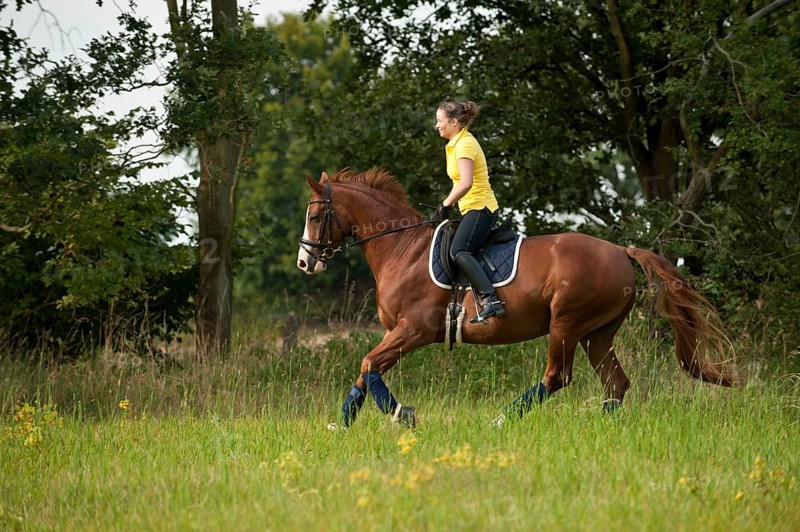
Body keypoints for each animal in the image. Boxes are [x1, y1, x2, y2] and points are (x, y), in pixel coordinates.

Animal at [296, 168, 738, 429]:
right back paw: (602, 428)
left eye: (316, 217)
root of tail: (620, 250)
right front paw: (342, 424)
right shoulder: (399, 333)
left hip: (567, 324)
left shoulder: (414, 330)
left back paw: (501, 421)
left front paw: (402, 414)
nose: (304, 262)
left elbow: (368, 364)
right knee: (615, 382)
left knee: (557, 377)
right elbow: (365, 372)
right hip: (597, 333)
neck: (401, 248)